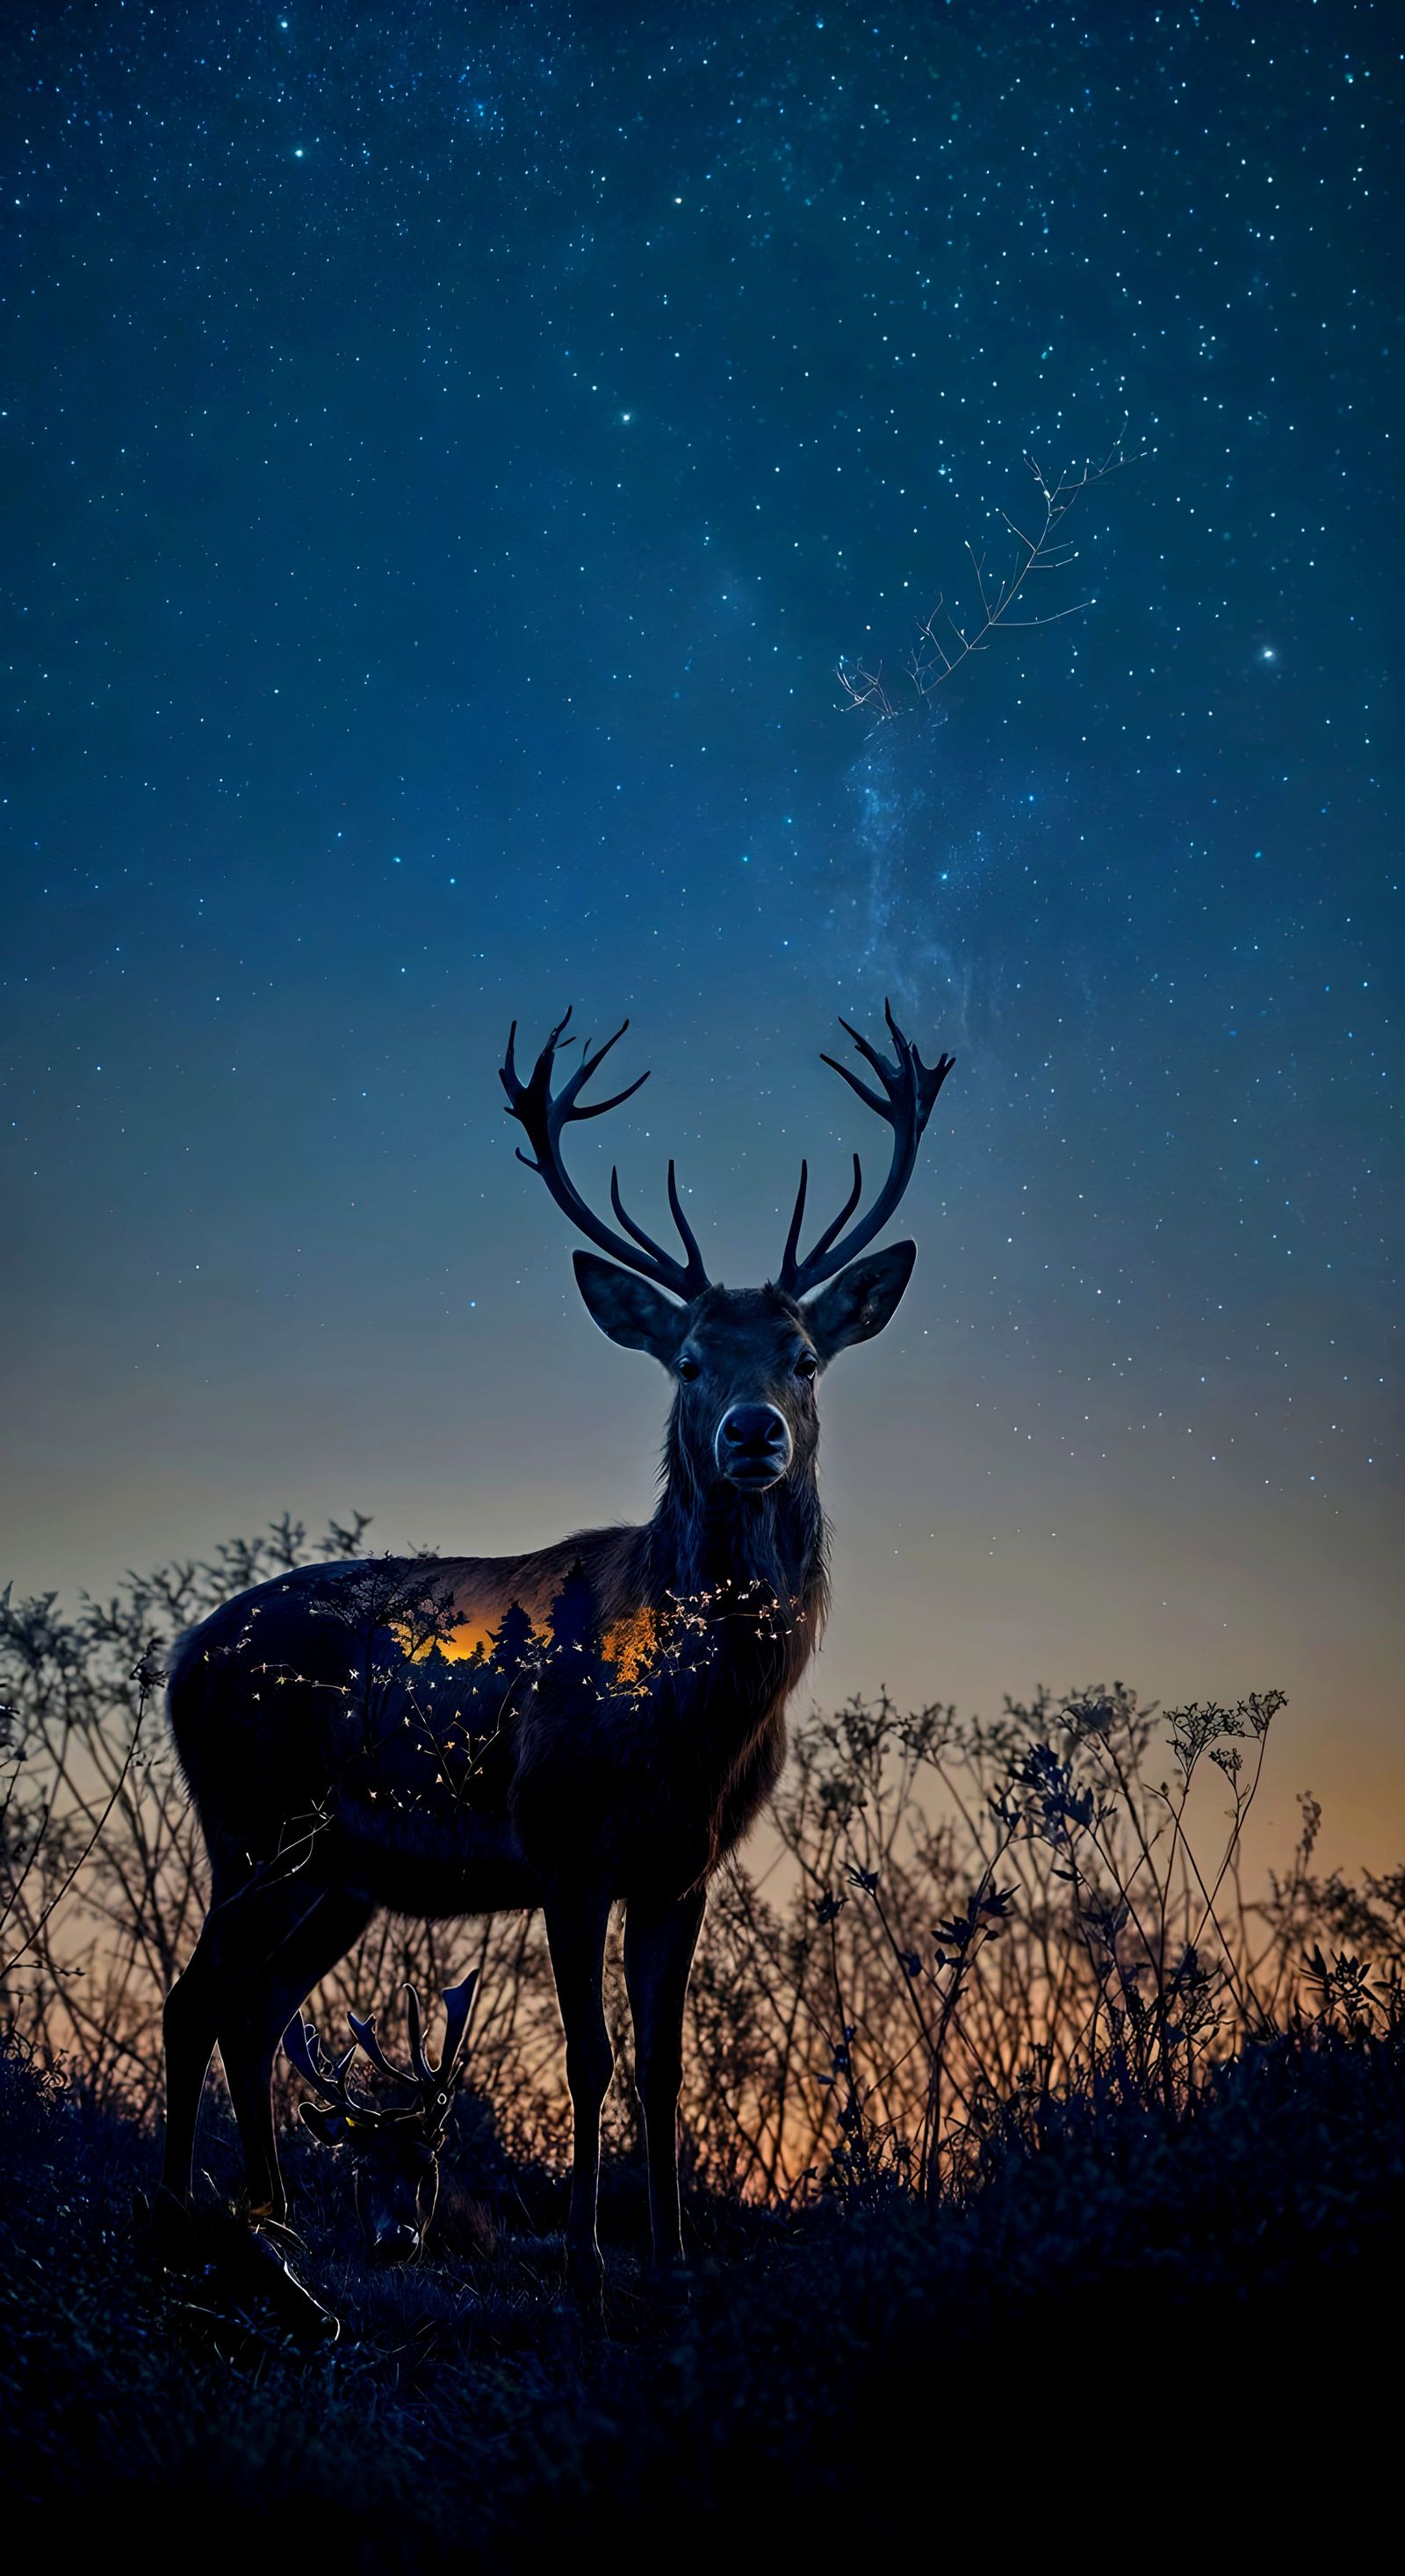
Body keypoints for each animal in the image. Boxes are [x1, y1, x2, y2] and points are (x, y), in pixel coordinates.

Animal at [158, 1003, 953, 2308]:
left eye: (804, 1355)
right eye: (687, 1357)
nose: (753, 1432)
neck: (695, 1727)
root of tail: (183, 1654)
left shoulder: (683, 1865)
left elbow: (665, 2064)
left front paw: (672, 2256)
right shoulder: (565, 1840)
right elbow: (590, 2056)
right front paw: (585, 2264)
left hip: (340, 1872)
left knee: (256, 2004)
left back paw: (275, 2217)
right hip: (252, 1822)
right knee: (195, 1996)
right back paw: (184, 2214)